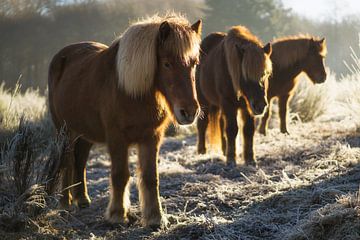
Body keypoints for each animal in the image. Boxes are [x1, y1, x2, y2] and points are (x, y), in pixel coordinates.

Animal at [47, 13, 202, 229]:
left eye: (194, 63)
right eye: (167, 63)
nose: (189, 112)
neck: (131, 92)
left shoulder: (151, 138)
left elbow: (150, 177)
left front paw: (155, 218)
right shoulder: (116, 138)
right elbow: (120, 175)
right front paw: (118, 215)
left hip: (84, 133)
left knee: (81, 161)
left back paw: (82, 199)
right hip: (65, 131)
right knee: (68, 162)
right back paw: (65, 204)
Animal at [195, 25, 272, 165]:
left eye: (265, 74)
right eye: (245, 75)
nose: (260, 105)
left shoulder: (246, 106)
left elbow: (248, 130)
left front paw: (250, 158)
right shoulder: (228, 103)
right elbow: (231, 129)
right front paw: (231, 159)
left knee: (221, 124)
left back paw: (224, 149)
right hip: (204, 102)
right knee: (202, 124)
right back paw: (202, 151)